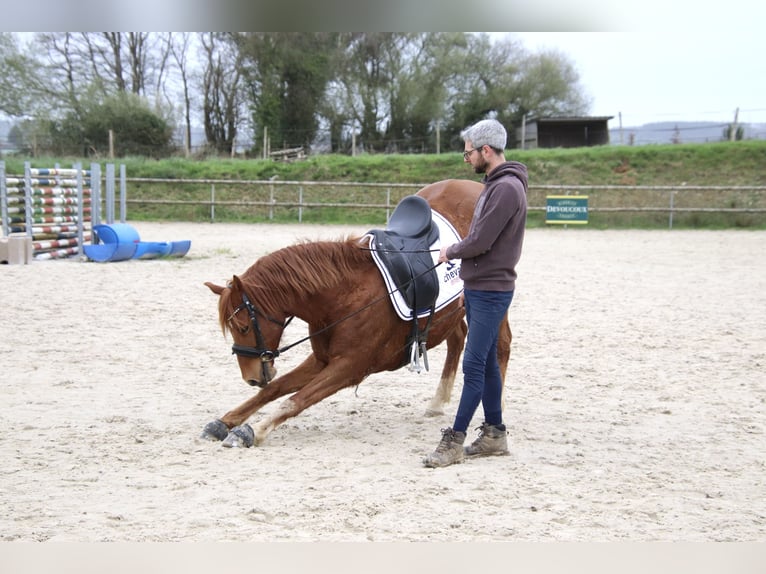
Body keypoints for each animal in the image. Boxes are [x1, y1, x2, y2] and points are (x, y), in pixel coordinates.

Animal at [202, 179, 512, 448]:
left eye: (243, 327)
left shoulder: (350, 367)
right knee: (457, 337)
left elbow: (295, 400)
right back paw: (438, 402)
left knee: (501, 345)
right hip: (452, 310)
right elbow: (274, 389)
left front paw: (252, 430)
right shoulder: (322, 360)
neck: (343, 295)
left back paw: (494, 408)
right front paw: (224, 422)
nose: (251, 378)